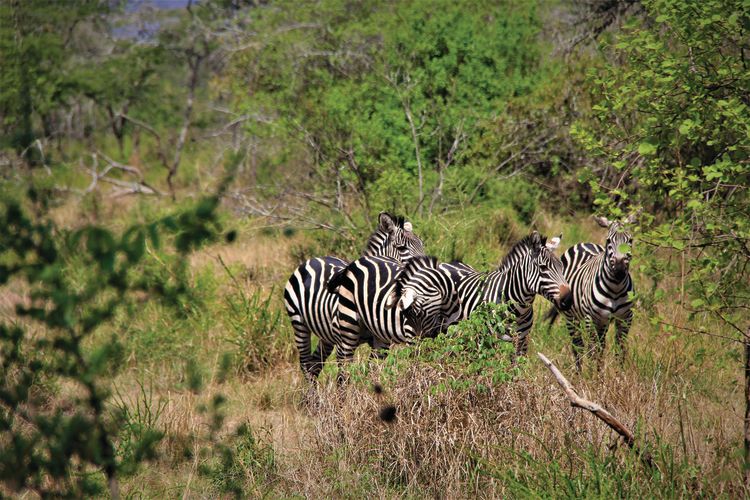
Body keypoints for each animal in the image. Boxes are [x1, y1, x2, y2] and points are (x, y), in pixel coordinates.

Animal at [283, 212, 425, 382]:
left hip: (326, 336)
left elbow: (373, 373)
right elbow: (343, 378)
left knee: (315, 365)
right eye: (402, 248)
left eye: (422, 245)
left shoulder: (381, 342)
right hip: (299, 324)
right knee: (305, 364)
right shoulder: (344, 344)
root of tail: (315, 259)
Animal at [326, 255, 461, 381]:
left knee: (373, 365)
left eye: (417, 313)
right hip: (348, 323)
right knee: (344, 366)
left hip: (380, 335)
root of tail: (354, 263)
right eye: (407, 315)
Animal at [439, 231, 573, 356]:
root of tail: (449, 262)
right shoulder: (488, 340)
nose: (568, 299)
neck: (518, 310)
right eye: (543, 267)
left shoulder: (522, 342)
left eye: (561, 267)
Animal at [546, 214, 636, 370]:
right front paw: (596, 375)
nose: (619, 271)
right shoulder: (591, 318)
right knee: (578, 345)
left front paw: (619, 373)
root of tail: (584, 243)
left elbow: (619, 350)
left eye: (630, 240)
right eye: (608, 241)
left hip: (603, 322)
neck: (615, 289)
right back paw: (580, 372)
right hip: (572, 318)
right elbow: (594, 351)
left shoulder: (625, 318)